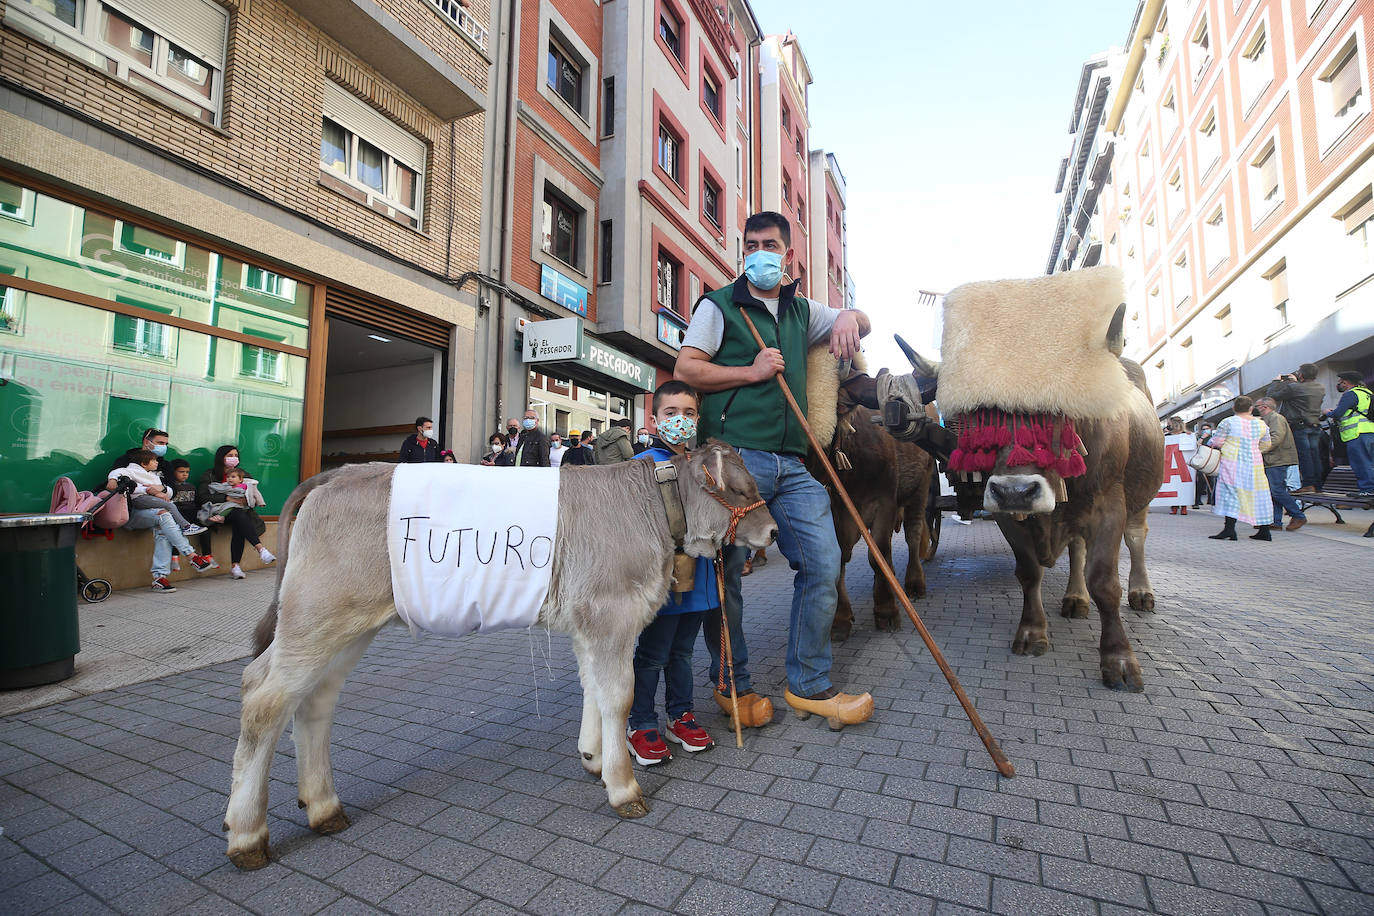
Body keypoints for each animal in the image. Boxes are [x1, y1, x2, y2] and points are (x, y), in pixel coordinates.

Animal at [879, 269, 1159, 692]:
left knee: (1137, 537)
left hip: (1141, 496)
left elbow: (1105, 582)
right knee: (1077, 549)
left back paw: (1141, 592)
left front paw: (1119, 659)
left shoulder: (1110, 502)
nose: (1016, 491)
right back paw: (1075, 600)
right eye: (982, 417)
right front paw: (1032, 632)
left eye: (1058, 411)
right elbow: (1029, 572)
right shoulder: (1003, 512)